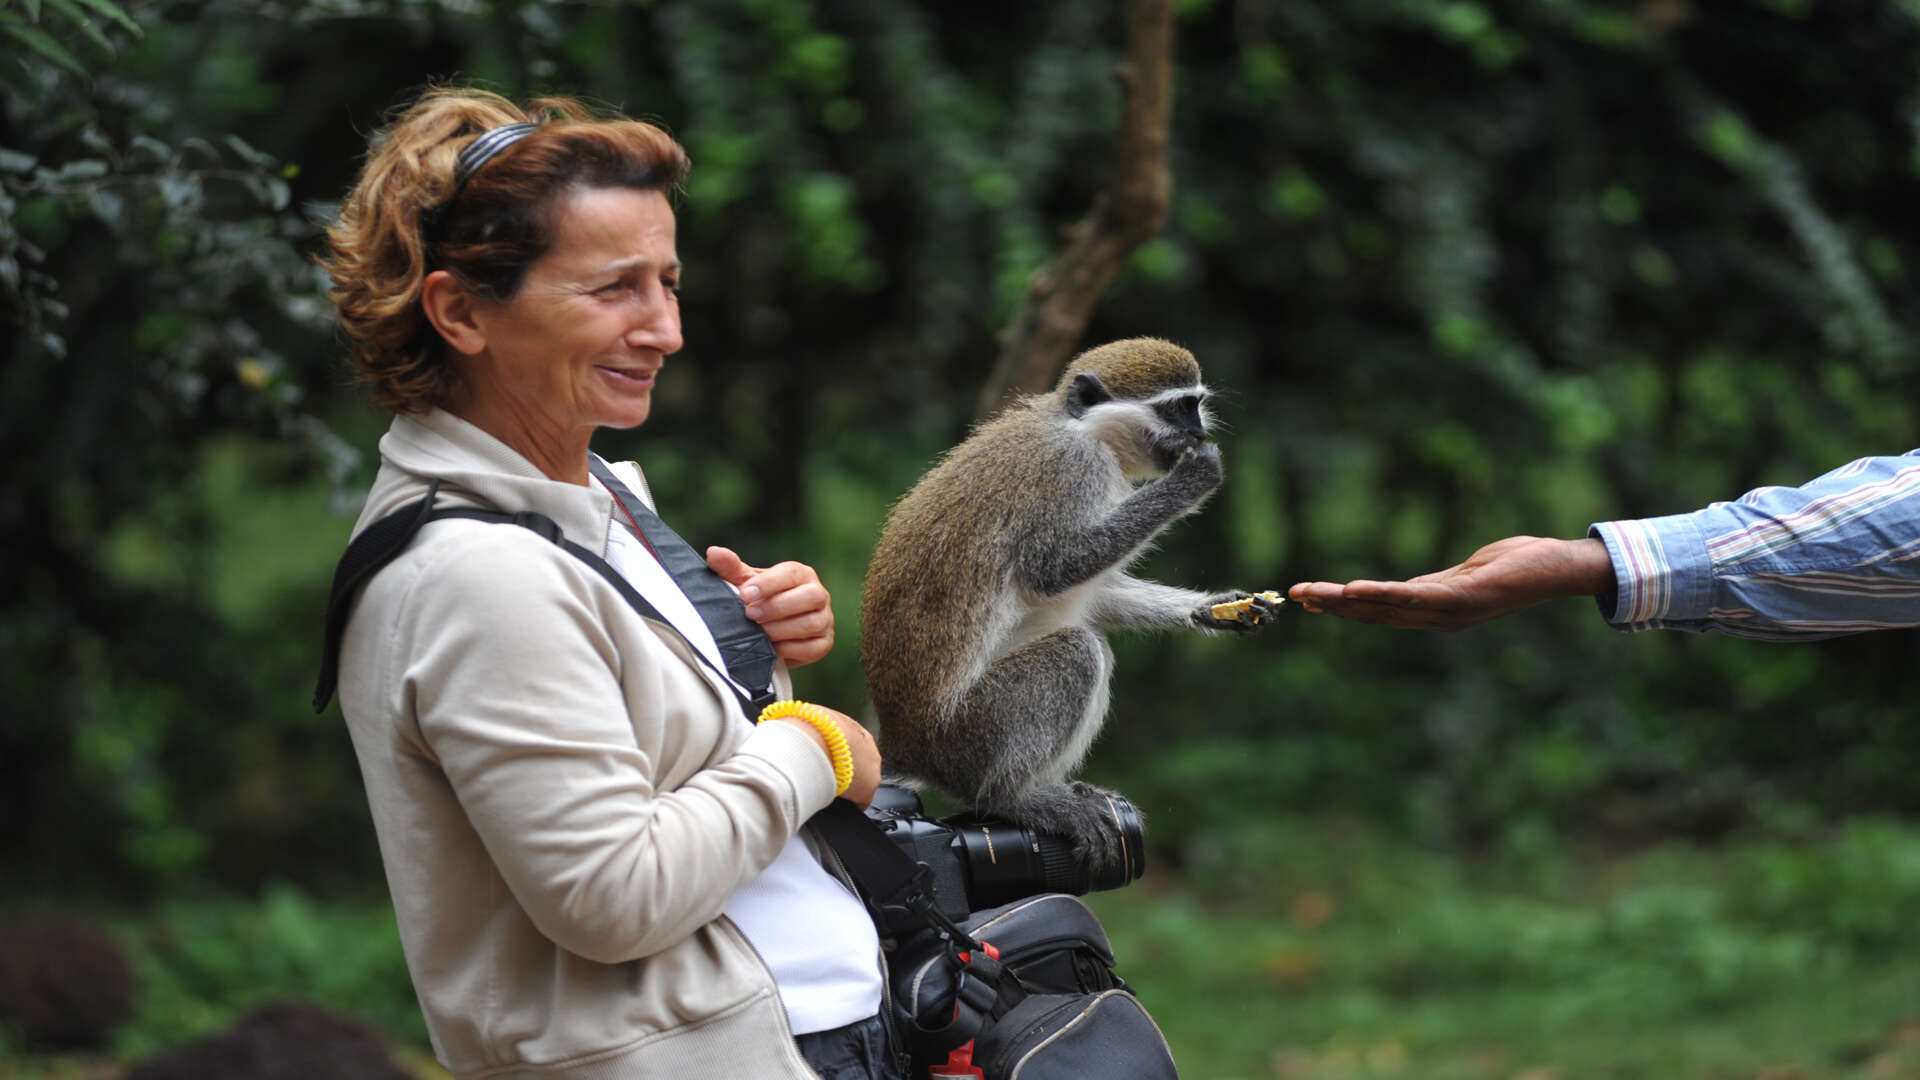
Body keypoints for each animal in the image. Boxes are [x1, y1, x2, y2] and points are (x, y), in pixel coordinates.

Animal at [864, 334, 1282, 864]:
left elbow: (1096, 593)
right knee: (1079, 651)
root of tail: (903, 743)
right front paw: (1192, 479)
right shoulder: (1071, 470)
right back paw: (1011, 798)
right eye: (1176, 409)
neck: (1084, 430)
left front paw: (1213, 609)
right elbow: (1055, 569)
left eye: (1196, 405)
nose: (1199, 431)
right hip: (968, 734)